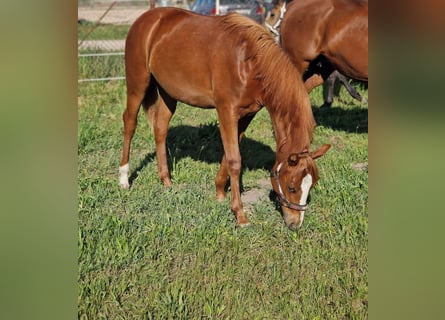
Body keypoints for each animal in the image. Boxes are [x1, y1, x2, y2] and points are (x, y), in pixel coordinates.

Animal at [118, 6, 330, 230]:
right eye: (291, 187)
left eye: (311, 185)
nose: (295, 224)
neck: (249, 61)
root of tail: (147, 18)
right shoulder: (226, 111)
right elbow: (235, 161)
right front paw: (240, 215)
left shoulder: (246, 115)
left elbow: (229, 156)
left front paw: (220, 192)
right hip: (137, 85)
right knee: (129, 124)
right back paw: (124, 179)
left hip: (169, 94)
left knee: (160, 129)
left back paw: (166, 181)